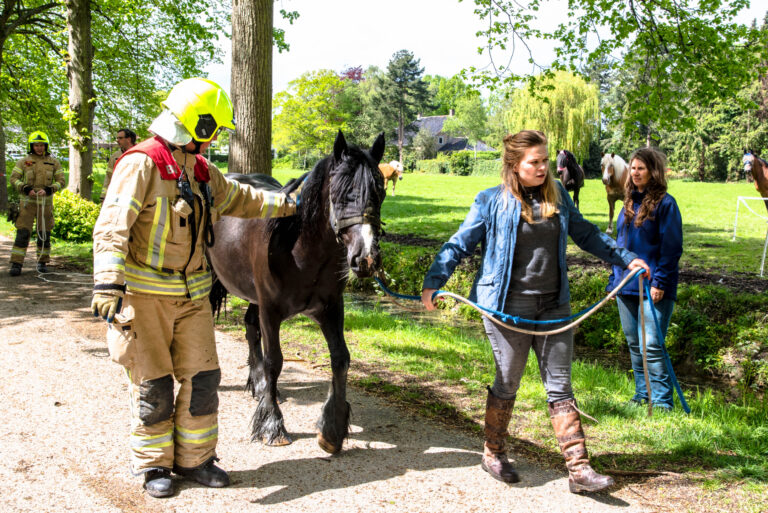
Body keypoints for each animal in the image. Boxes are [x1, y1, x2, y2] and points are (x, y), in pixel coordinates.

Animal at [207, 131, 388, 452]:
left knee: (250, 327)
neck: (299, 249)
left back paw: (260, 386)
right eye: (340, 193)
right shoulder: (271, 310)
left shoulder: (331, 308)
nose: (366, 259)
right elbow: (274, 361)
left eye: (381, 193)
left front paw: (332, 427)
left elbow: (340, 358)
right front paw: (272, 425)